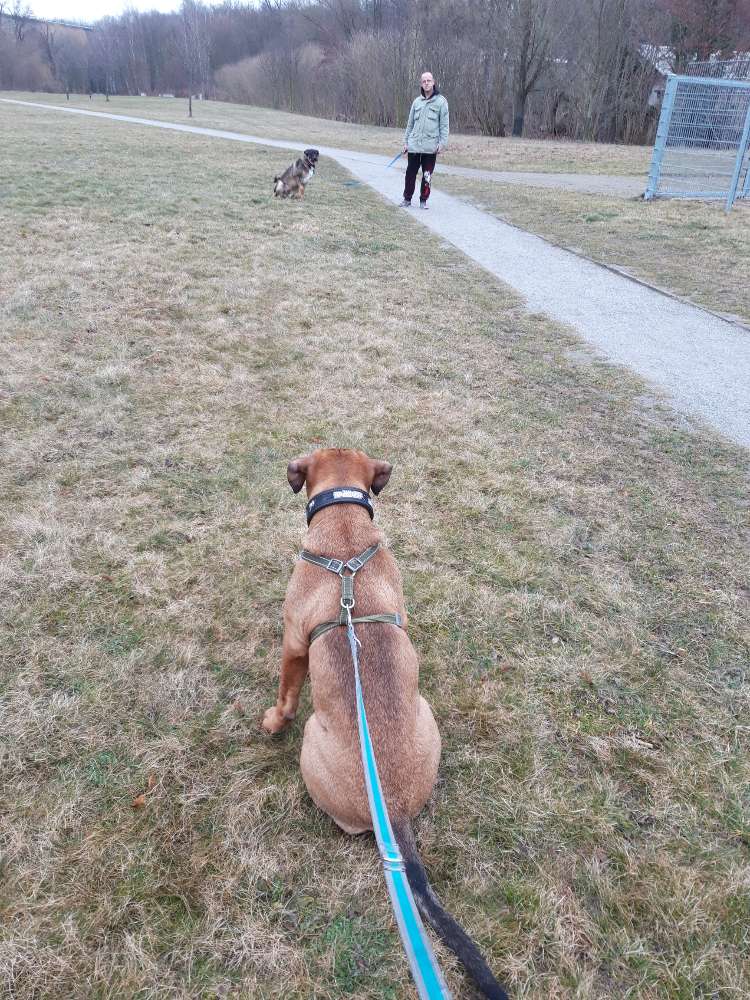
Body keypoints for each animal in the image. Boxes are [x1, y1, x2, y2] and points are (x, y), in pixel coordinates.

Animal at [262, 448, 512, 1000]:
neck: (345, 531)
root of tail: (391, 810)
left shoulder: (293, 642)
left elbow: (287, 691)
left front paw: (272, 719)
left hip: (313, 743)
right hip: (428, 715)